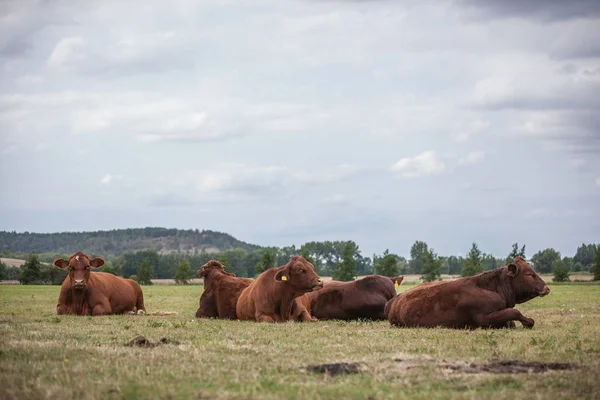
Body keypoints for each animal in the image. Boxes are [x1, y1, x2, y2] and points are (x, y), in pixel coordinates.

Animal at [386, 258, 552, 330]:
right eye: (529, 274)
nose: (547, 288)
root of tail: (395, 300)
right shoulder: (484, 317)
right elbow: (515, 312)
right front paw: (528, 322)